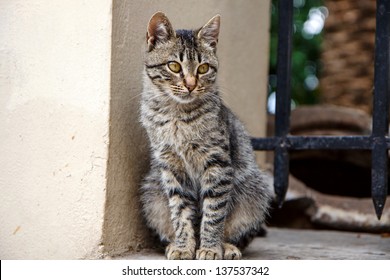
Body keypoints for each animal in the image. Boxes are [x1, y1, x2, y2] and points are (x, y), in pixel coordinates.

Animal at [139, 11, 272, 260]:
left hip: (256, 189)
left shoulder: (217, 164)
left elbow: (214, 214)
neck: (177, 116)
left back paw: (227, 246)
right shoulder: (171, 167)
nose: (191, 85)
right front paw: (184, 247)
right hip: (152, 193)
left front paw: (210, 248)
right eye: (174, 66)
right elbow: (180, 213)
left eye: (203, 68)